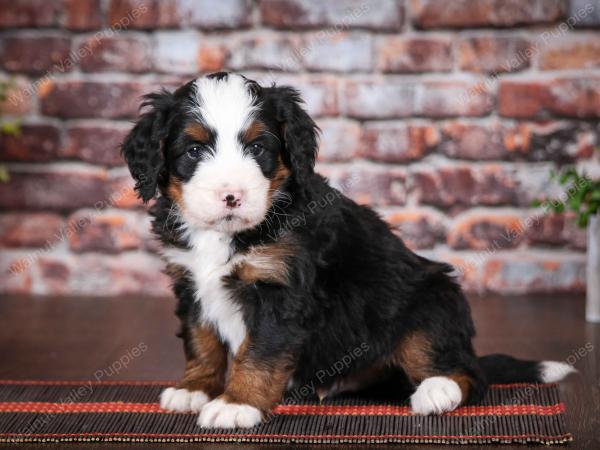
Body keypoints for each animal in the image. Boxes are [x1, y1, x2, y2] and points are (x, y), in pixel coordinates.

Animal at [119, 71, 576, 428]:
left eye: (258, 148)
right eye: (194, 150)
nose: (231, 196)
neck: (230, 234)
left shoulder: (280, 292)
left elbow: (259, 353)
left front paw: (236, 404)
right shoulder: (190, 283)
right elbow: (202, 342)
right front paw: (194, 389)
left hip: (431, 300)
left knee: (465, 372)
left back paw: (437, 391)